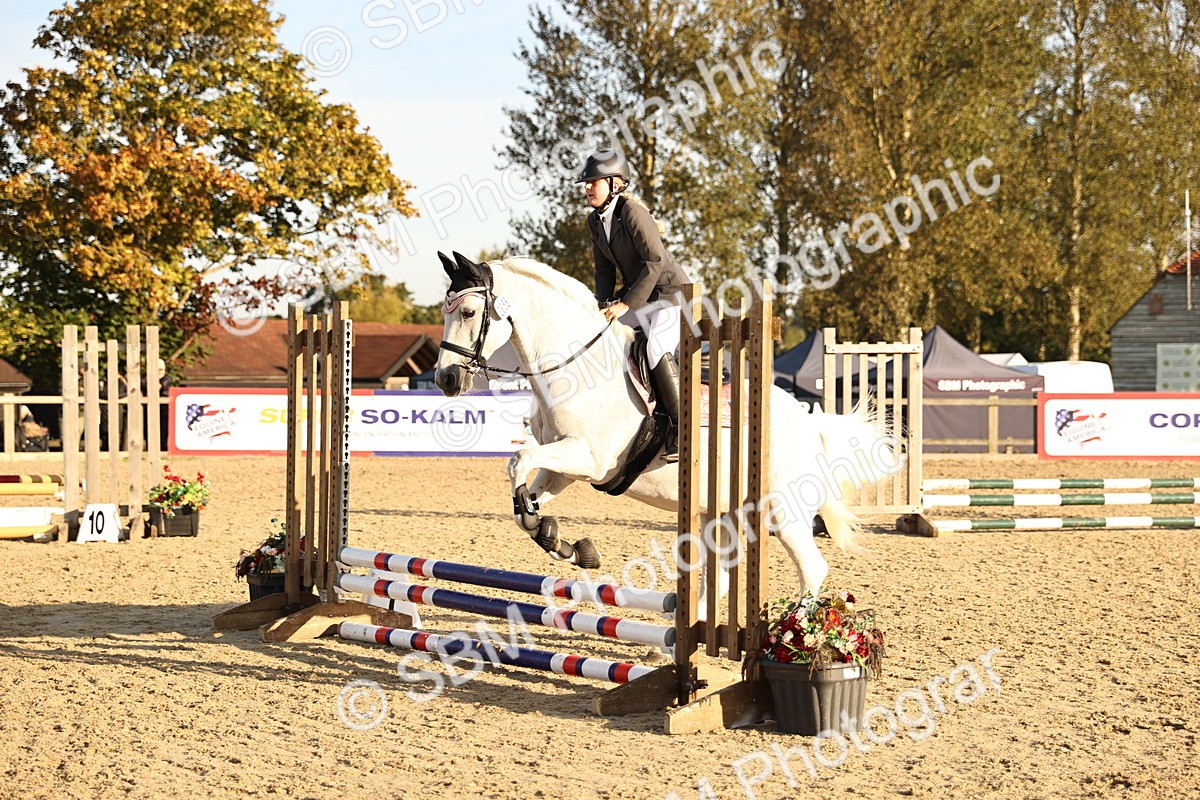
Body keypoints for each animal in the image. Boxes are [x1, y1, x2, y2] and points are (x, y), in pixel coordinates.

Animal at [433, 251, 900, 598]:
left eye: (470, 312)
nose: (446, 380)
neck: (574, 366)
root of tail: (808, 423)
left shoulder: (589, 457)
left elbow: (518, 459)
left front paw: (558, 538)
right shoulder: (563, 467)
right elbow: (525, 496)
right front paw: (565, 544)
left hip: (782, 510)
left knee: (812, 569)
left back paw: (796, 640)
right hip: (723, 512)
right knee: (724, 578)